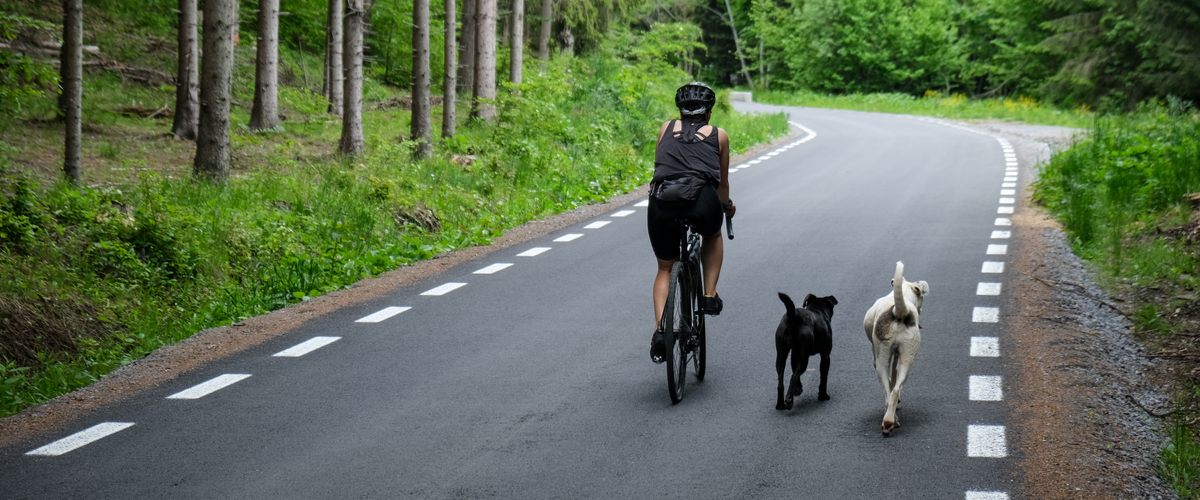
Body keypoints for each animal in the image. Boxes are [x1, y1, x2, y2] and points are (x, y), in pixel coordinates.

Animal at [864, 258, 926, 434]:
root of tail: (898, 311)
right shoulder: (897, 354)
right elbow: (894, 379)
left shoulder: (878, 355)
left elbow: (890, 381)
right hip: (907, 357)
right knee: (896, 389)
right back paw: (891, 420)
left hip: (882, 359)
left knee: (888, 391)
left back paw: (889, 420)